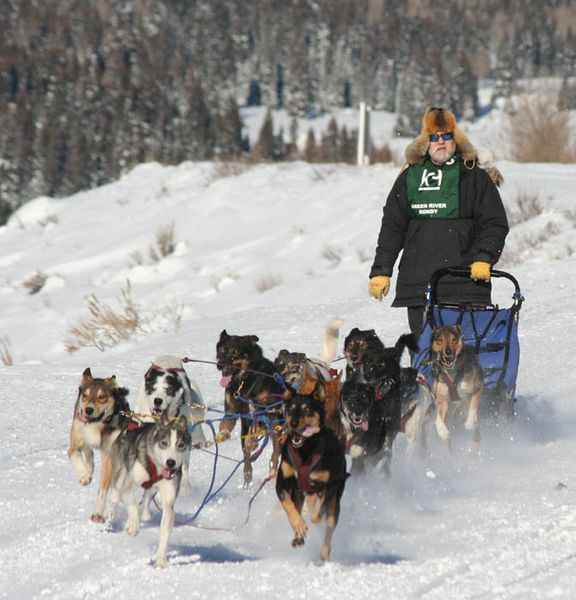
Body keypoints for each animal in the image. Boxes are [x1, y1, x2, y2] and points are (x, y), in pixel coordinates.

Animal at [68, 366, 130, 520]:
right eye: (85, 395)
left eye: (102, 397)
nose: (88, 410)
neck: (95, 425)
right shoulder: (75, 444)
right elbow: (75, 456)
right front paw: (84, 475)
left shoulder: (108, 456)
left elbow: (103, 489)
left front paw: (98, 513)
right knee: (87, 451)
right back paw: (88, 468)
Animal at [106, 410, 191, 568]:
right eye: (164, 443)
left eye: (181, 445)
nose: (171, 462)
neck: (157, 468)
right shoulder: (128, 485)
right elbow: (132, 504)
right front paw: (133, 525)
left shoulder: (169, 504)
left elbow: (164, 532)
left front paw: (160, 559)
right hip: (120, 476)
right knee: (115, 498)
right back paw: (111, 519)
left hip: (152, 489)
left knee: (146, 497)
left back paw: (144, 513)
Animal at [215, 328, 290, 488]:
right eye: (222, 350)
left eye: (235, 352)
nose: (220, 365)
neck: (244, 381)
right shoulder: (232, 411)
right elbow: (225, 423)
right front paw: (223, 434)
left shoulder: (265, 412)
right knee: (247, 455)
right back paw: (248, 474)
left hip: (276, 426)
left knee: (275, 453)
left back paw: (271, 470)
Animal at [276, 396, 346, 560]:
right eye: (291, 409)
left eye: (307, 409)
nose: (293, 423)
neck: (305, 449)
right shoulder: (283, 482)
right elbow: (288, 505)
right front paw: (299, 525)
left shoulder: (331, 484)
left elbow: (319, 510)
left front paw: (315, 517)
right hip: (298, 494)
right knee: (298, 507)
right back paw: (298, 537)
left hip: (335, 500)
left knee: (330, 525)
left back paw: (325, 551)